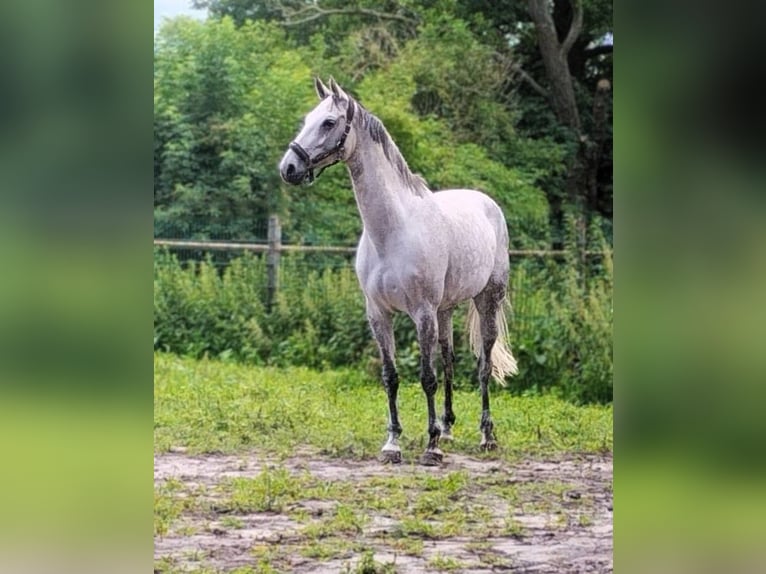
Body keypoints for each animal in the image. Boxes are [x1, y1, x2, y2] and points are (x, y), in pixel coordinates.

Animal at [279, 77, 518, 466]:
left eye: (328, 122)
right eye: (306, 119)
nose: (288, 168)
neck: (392, 231)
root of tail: (487, 203)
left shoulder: (421, 313)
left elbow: (426, 377)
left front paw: (431, 447)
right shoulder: (379, 314)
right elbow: (391, 377)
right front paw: (393, 444)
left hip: (487, 300)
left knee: (482, 363)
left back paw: (486, 436)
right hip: (445, 310)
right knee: (449, 361)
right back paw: (449, 429)